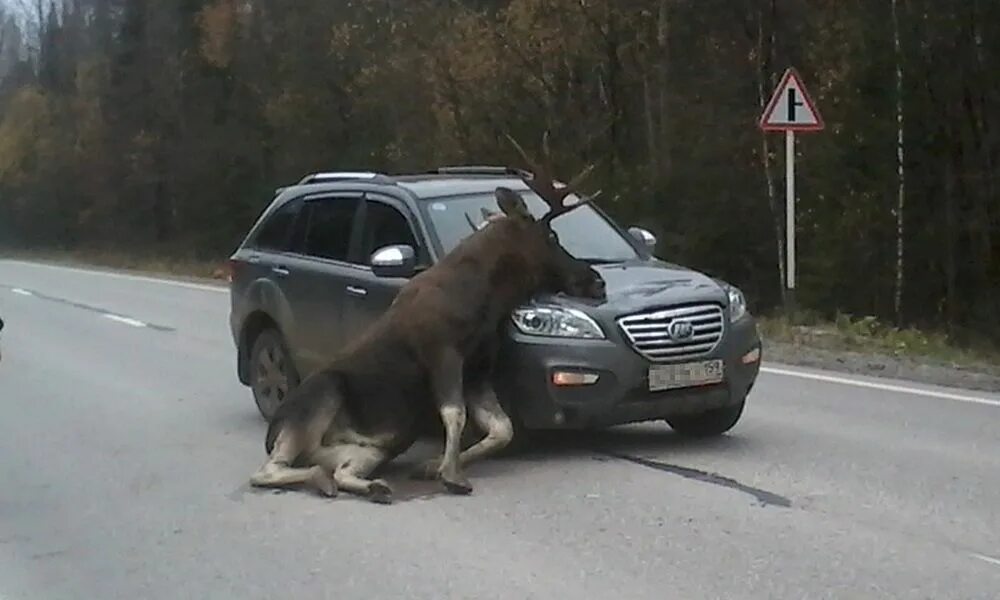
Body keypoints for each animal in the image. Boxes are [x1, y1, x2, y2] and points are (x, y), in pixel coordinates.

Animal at [250, 136, 608, 502]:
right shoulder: (442, 352)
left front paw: (432, 465)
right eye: (551, 237)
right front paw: (451, 474)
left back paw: (364, 484)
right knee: (267, 470)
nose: (595, 280)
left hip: (375, 448)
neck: (484, 301)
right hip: (317, 400)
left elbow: (501, 429)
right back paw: (324, 480)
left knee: (338, 470)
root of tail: (271, 430)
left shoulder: (478, 370)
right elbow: (455, 414)